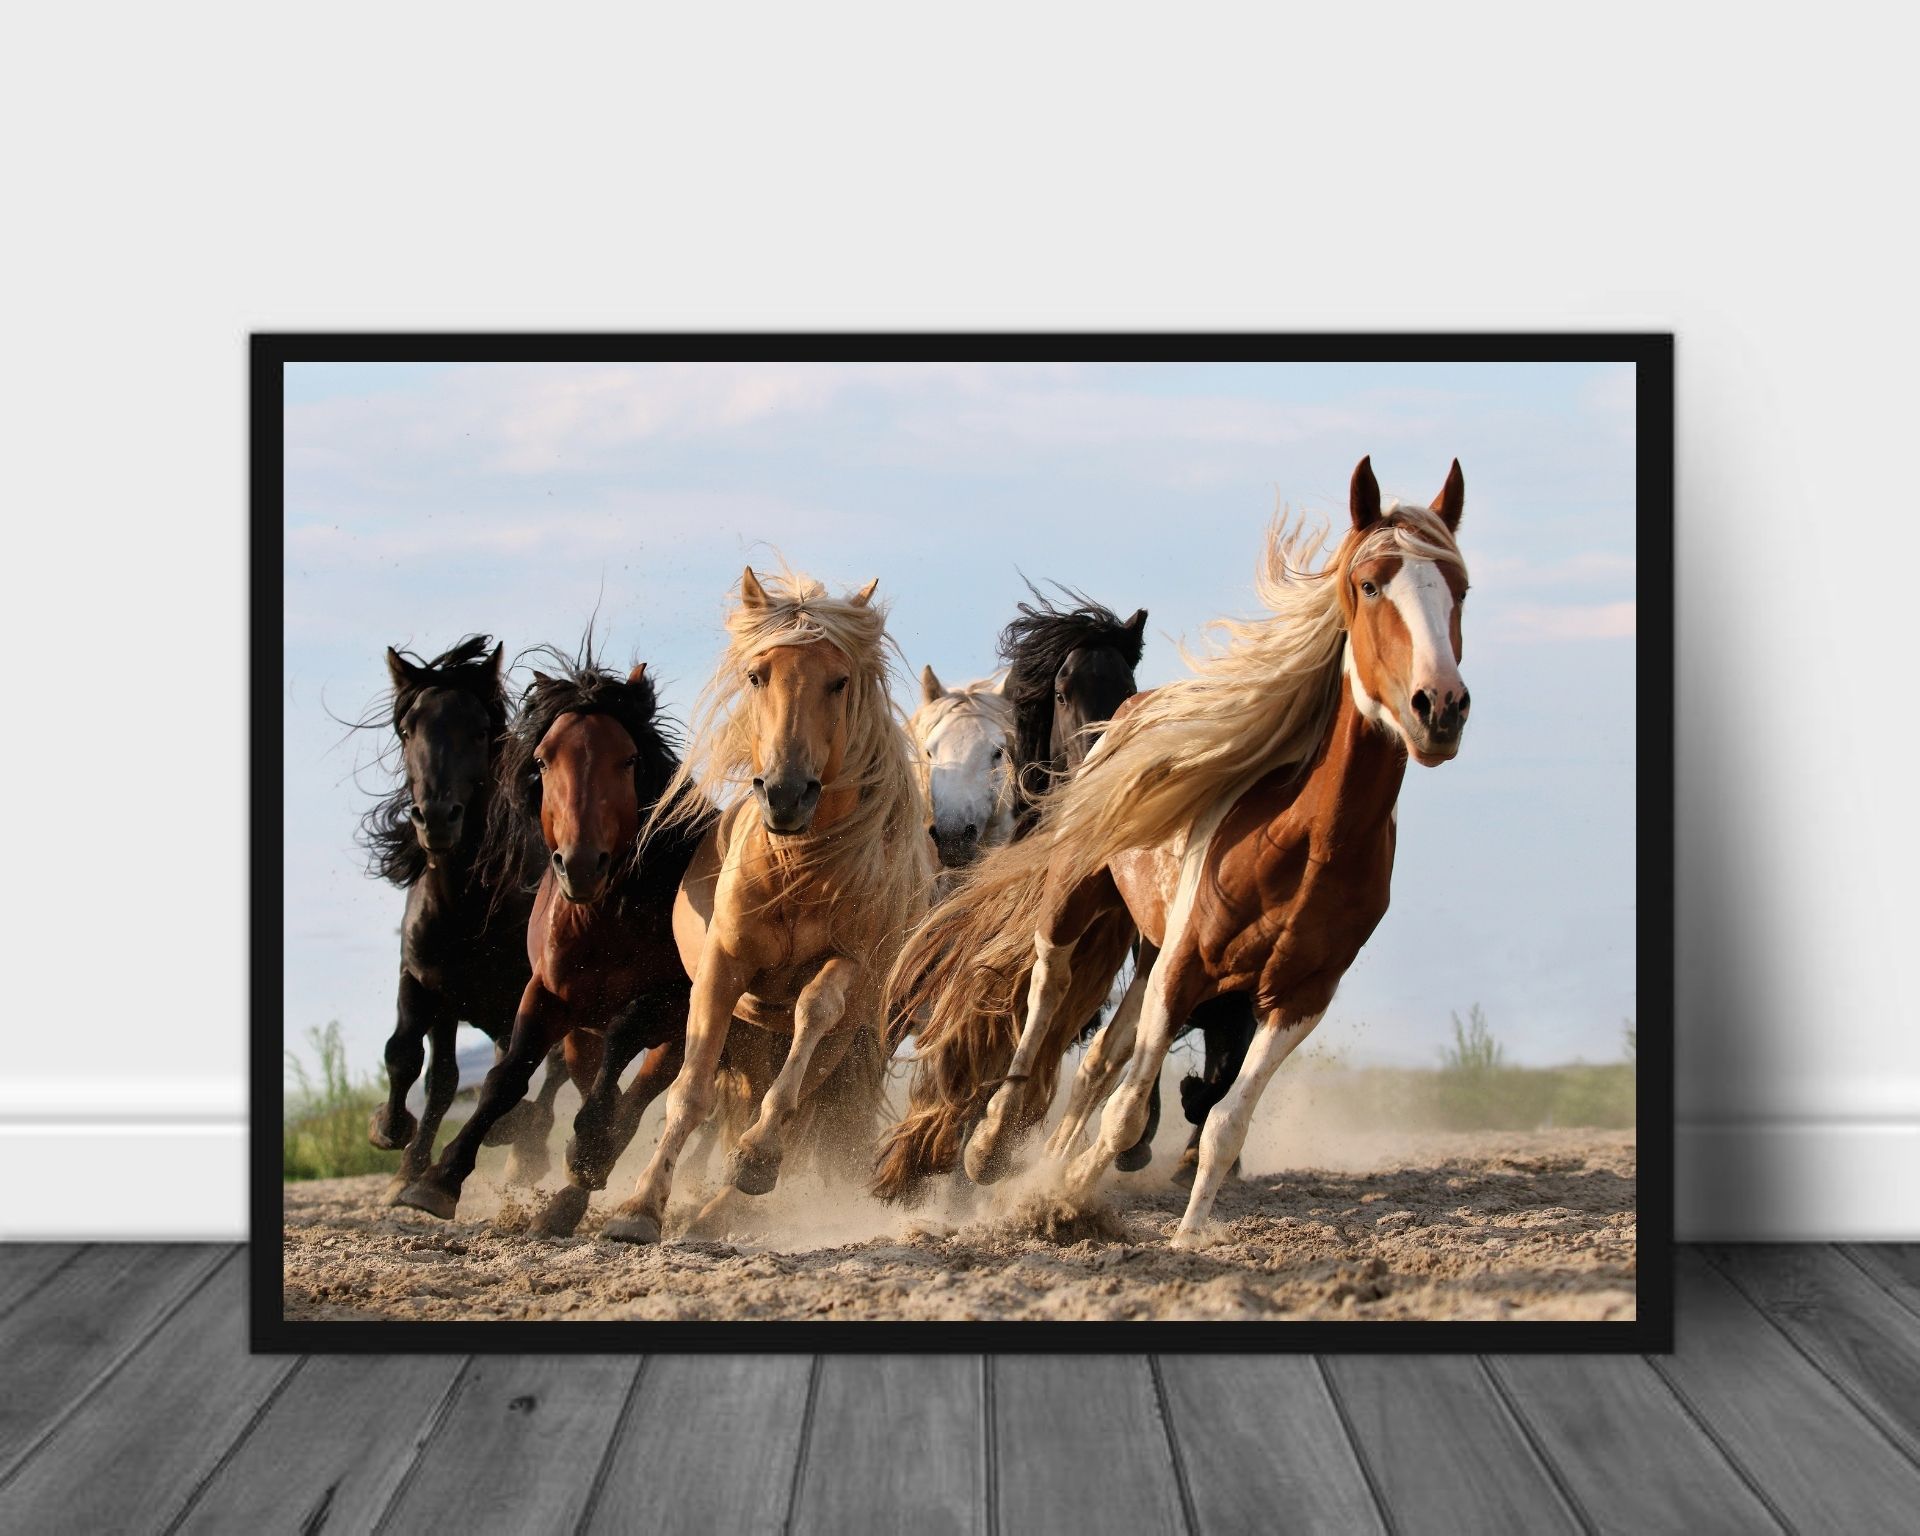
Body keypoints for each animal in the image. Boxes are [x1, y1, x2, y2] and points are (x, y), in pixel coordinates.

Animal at [358, 636, 566, 1198]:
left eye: (479, 730)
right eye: (408, 729)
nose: (436, 818)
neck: (466, 907)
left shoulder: (527, 992)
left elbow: (521, 1068)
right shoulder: (427, 983)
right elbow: (414, 1059)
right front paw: (397, 1144)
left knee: (554, 1069)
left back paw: (524, 1150)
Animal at [392, 643, 710, 1235]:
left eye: (628, 759)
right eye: (542, 761)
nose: (580, 865)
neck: (605, 918)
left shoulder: (673, 1001)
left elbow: (624, 1040)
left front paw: (587, 1148)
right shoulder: (546, 994)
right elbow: (506, 1075)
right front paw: (437, 1180)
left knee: (639, 1095)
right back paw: (564, 1200)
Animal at [598, 565, 932, 1245]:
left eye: (839, 681)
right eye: (758, 675)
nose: (785, 794)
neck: (797, 870)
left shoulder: (849, 965)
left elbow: (812, 1015)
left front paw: (754, 1158)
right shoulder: (723, 970)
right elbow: (690, 1092)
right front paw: (639, 1207)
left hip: (842, 1043)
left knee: (800, 1105)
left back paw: (726, 1203)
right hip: (753, 1038)